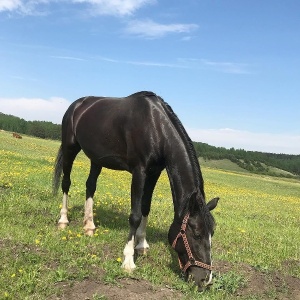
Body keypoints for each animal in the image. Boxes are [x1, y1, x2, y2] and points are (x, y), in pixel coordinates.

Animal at [52, 91, 219, 290]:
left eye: (212, 234)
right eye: (196, 234)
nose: (205, 279)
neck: (155, 127)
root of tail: (76, 105)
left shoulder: (154, 172)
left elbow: (146, 207)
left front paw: (142, 244)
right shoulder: (139, 171)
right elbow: (135, 215)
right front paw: (128, 260)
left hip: (96, 158)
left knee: (90, 185)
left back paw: (89, 225)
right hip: (70, 148)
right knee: (66, 183)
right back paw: (63, 220)